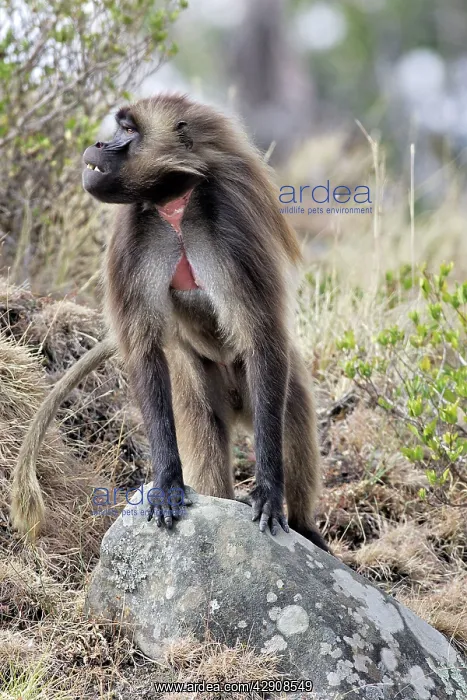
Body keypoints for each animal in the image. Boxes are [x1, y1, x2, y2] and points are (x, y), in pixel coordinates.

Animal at [11, 94, 328, 552]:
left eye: (129, 130)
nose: (99, 144)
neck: (174, 205)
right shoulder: (133, 235)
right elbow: (145, 350)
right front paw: (167, 482)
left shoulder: (232, 222)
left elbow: (262, 336)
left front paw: (269, 490)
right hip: (194, 382)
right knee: (206, 435)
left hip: (268, 382)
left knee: (292, 413)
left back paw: (303, 524)